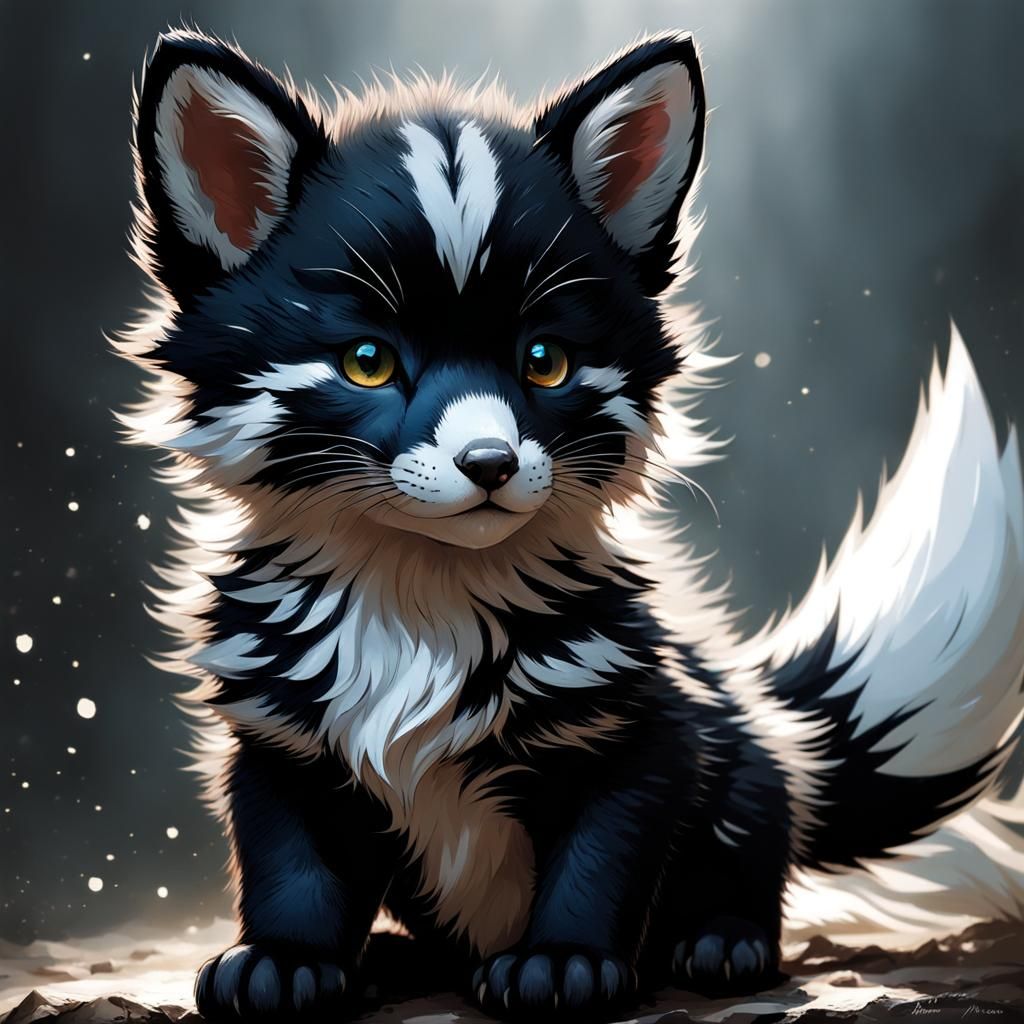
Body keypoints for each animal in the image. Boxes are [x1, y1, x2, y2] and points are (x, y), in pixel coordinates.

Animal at [115, 27, 1024, 1021]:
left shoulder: (643, 727)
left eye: (545, 361)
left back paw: (723, 942)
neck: (423, 599)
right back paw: (398, 958)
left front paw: (563, 960)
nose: (490, 463)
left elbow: (600, 858)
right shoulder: (282, 733)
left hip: (745, 772)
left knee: (751, 848)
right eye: (367, 361)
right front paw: (284, 960)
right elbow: (291, 859)